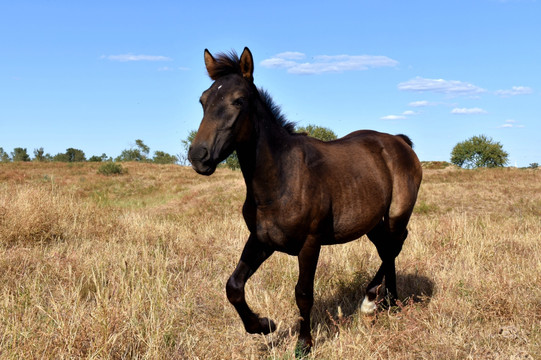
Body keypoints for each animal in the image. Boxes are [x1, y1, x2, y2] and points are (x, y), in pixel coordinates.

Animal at [188, 46, 424, 352]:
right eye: (203, 100)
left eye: (238, 101)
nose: (198, 156)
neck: (281, 179)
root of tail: (399, 141)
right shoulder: (262, 241)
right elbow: (234, 286)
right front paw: (264, 325)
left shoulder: (310, 244)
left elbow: (303, 293)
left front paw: (304, 344)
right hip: (371, 222)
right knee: (387, 249)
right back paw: (391, 302)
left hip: (397, 214)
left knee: (393, 246)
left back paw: (371, 302)